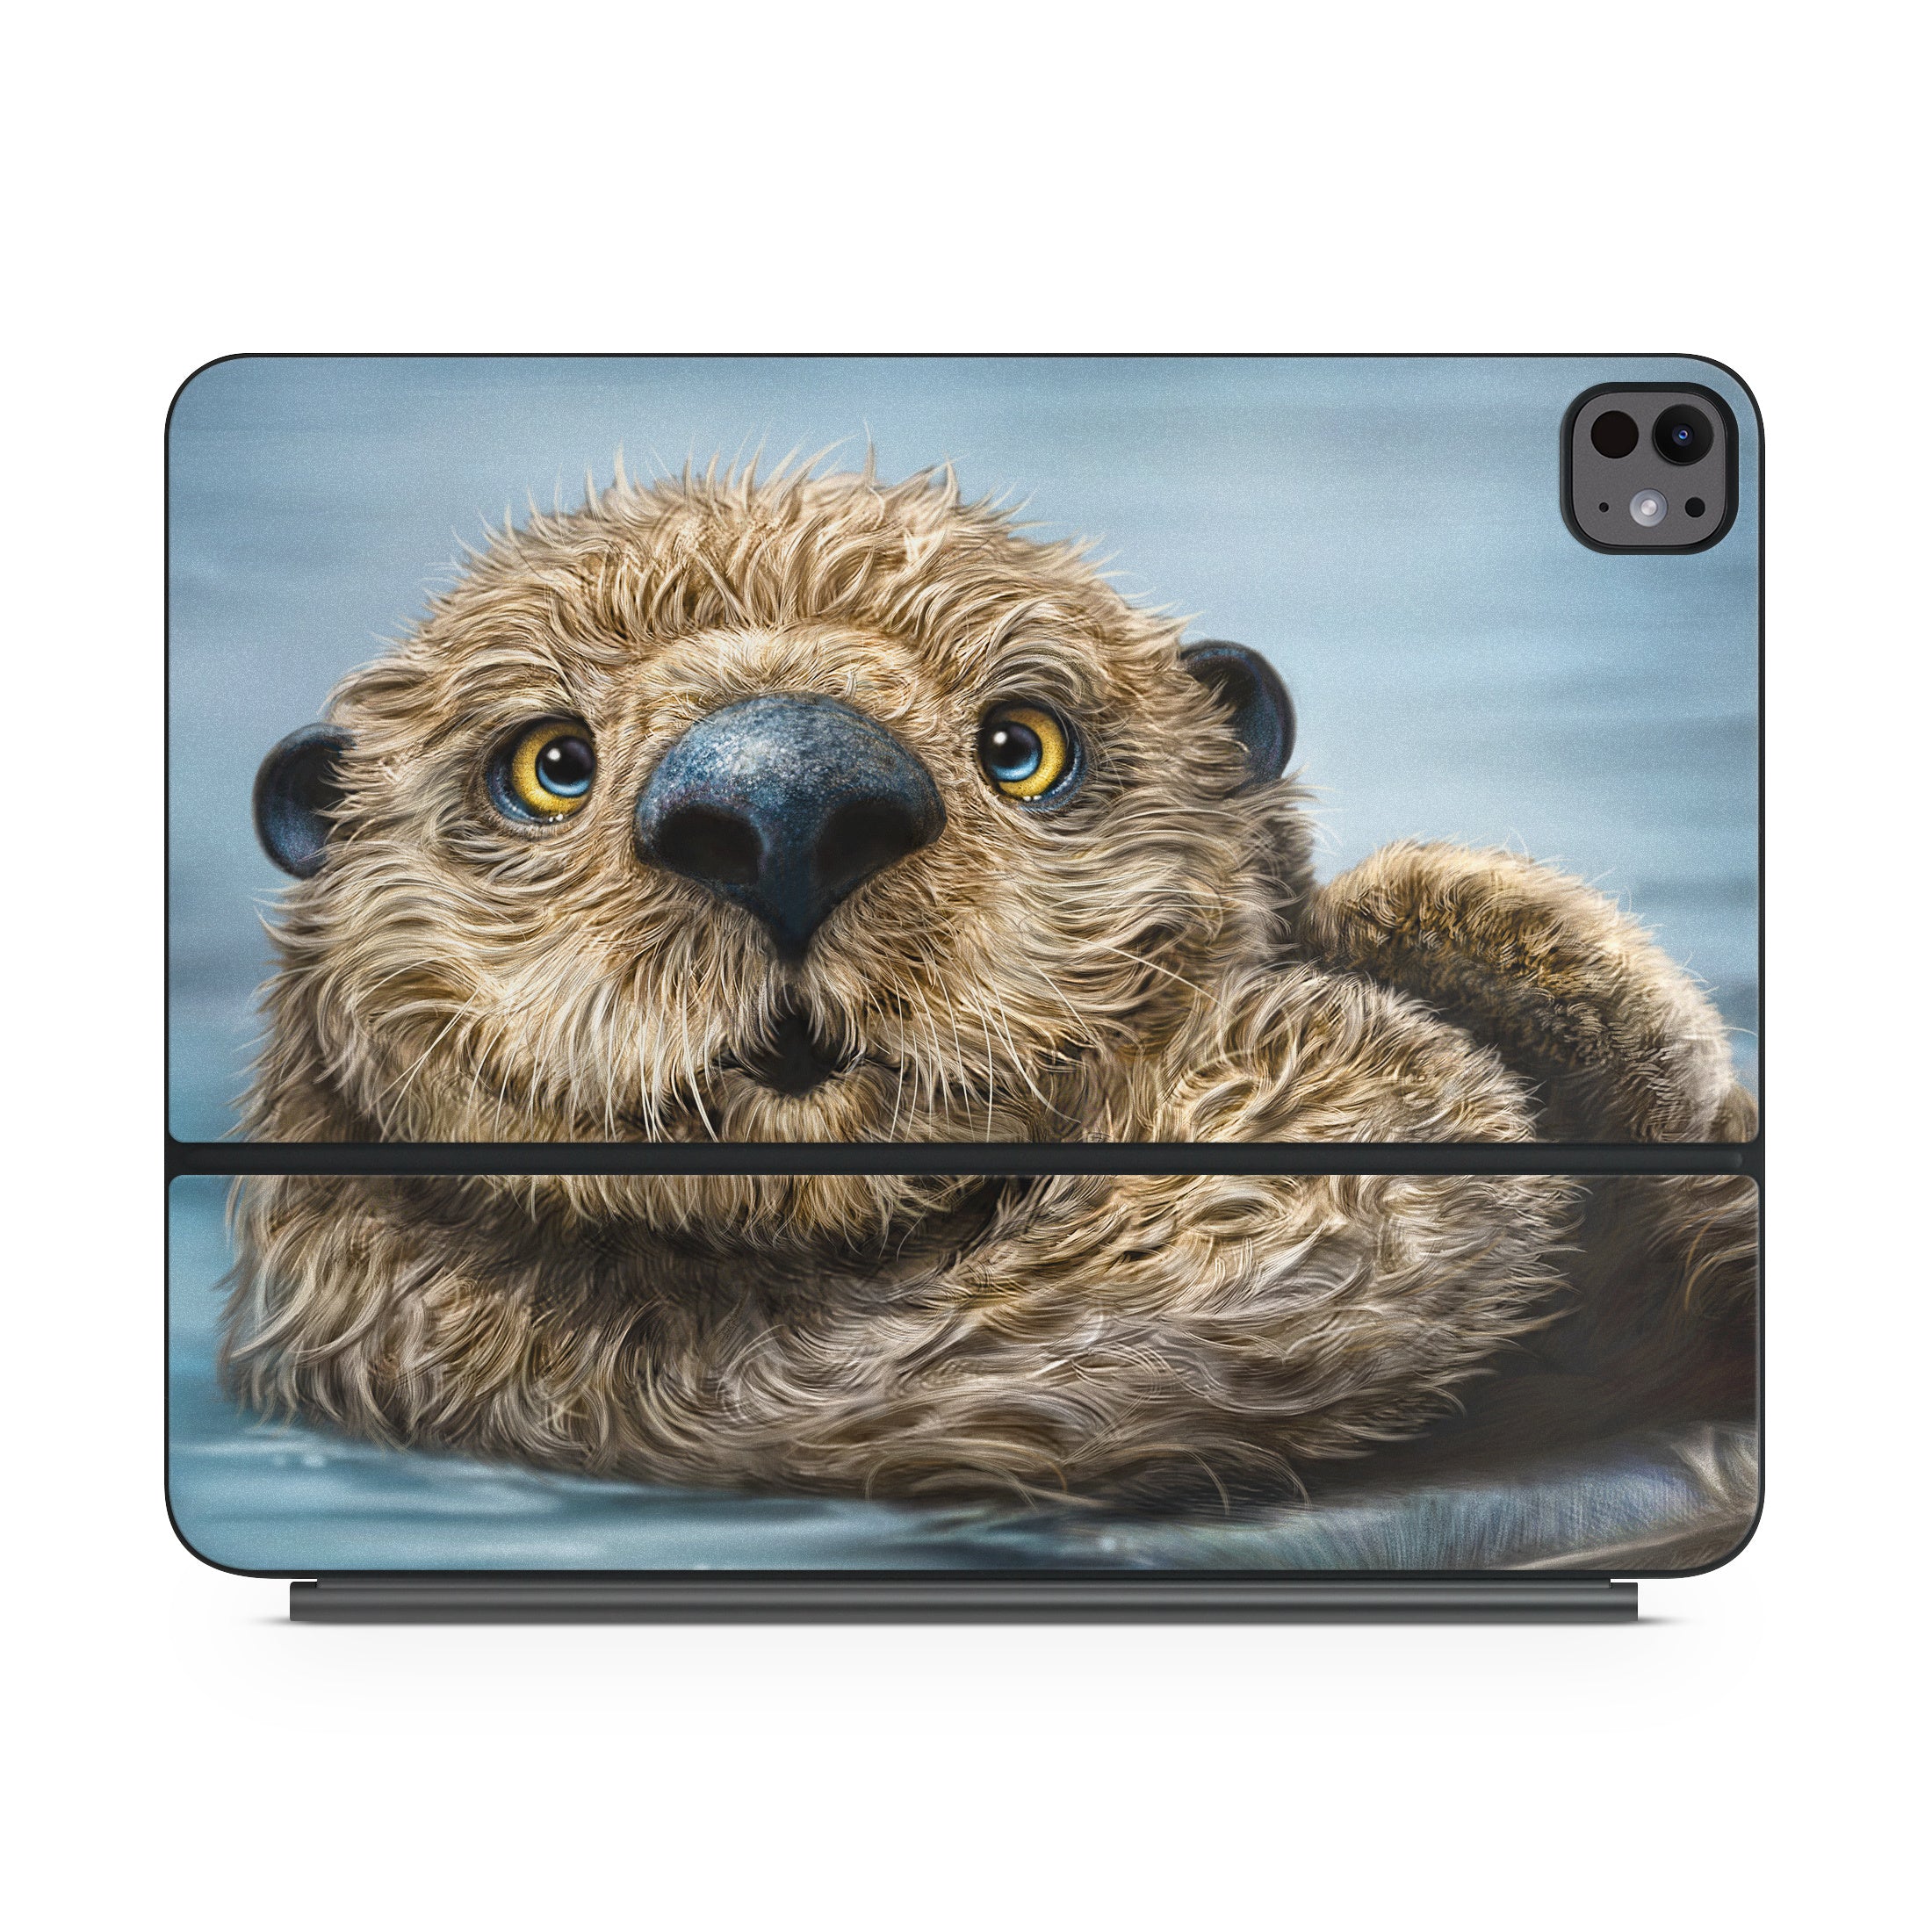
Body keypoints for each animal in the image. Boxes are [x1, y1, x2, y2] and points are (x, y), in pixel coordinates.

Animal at [227, 461, 1756, 1513]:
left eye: (1023, 745)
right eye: (548, 765)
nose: (788, 801)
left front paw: (1468, 921)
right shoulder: (578, 1375)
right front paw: (1374, 1039)